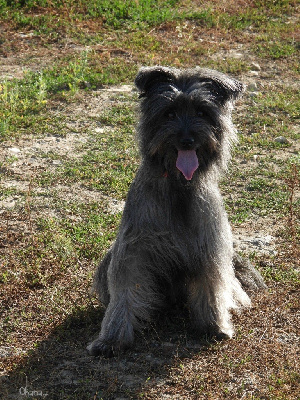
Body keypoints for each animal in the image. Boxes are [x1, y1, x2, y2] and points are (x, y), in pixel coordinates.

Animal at [86, 65, 264, 356]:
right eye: (168, 113)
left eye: (202, 112)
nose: (187, 140)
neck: (179, 187)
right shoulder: (133, 251)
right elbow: (124, 294)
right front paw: (111, 339)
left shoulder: (209, 248)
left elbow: (211, 286)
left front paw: (215, 326)